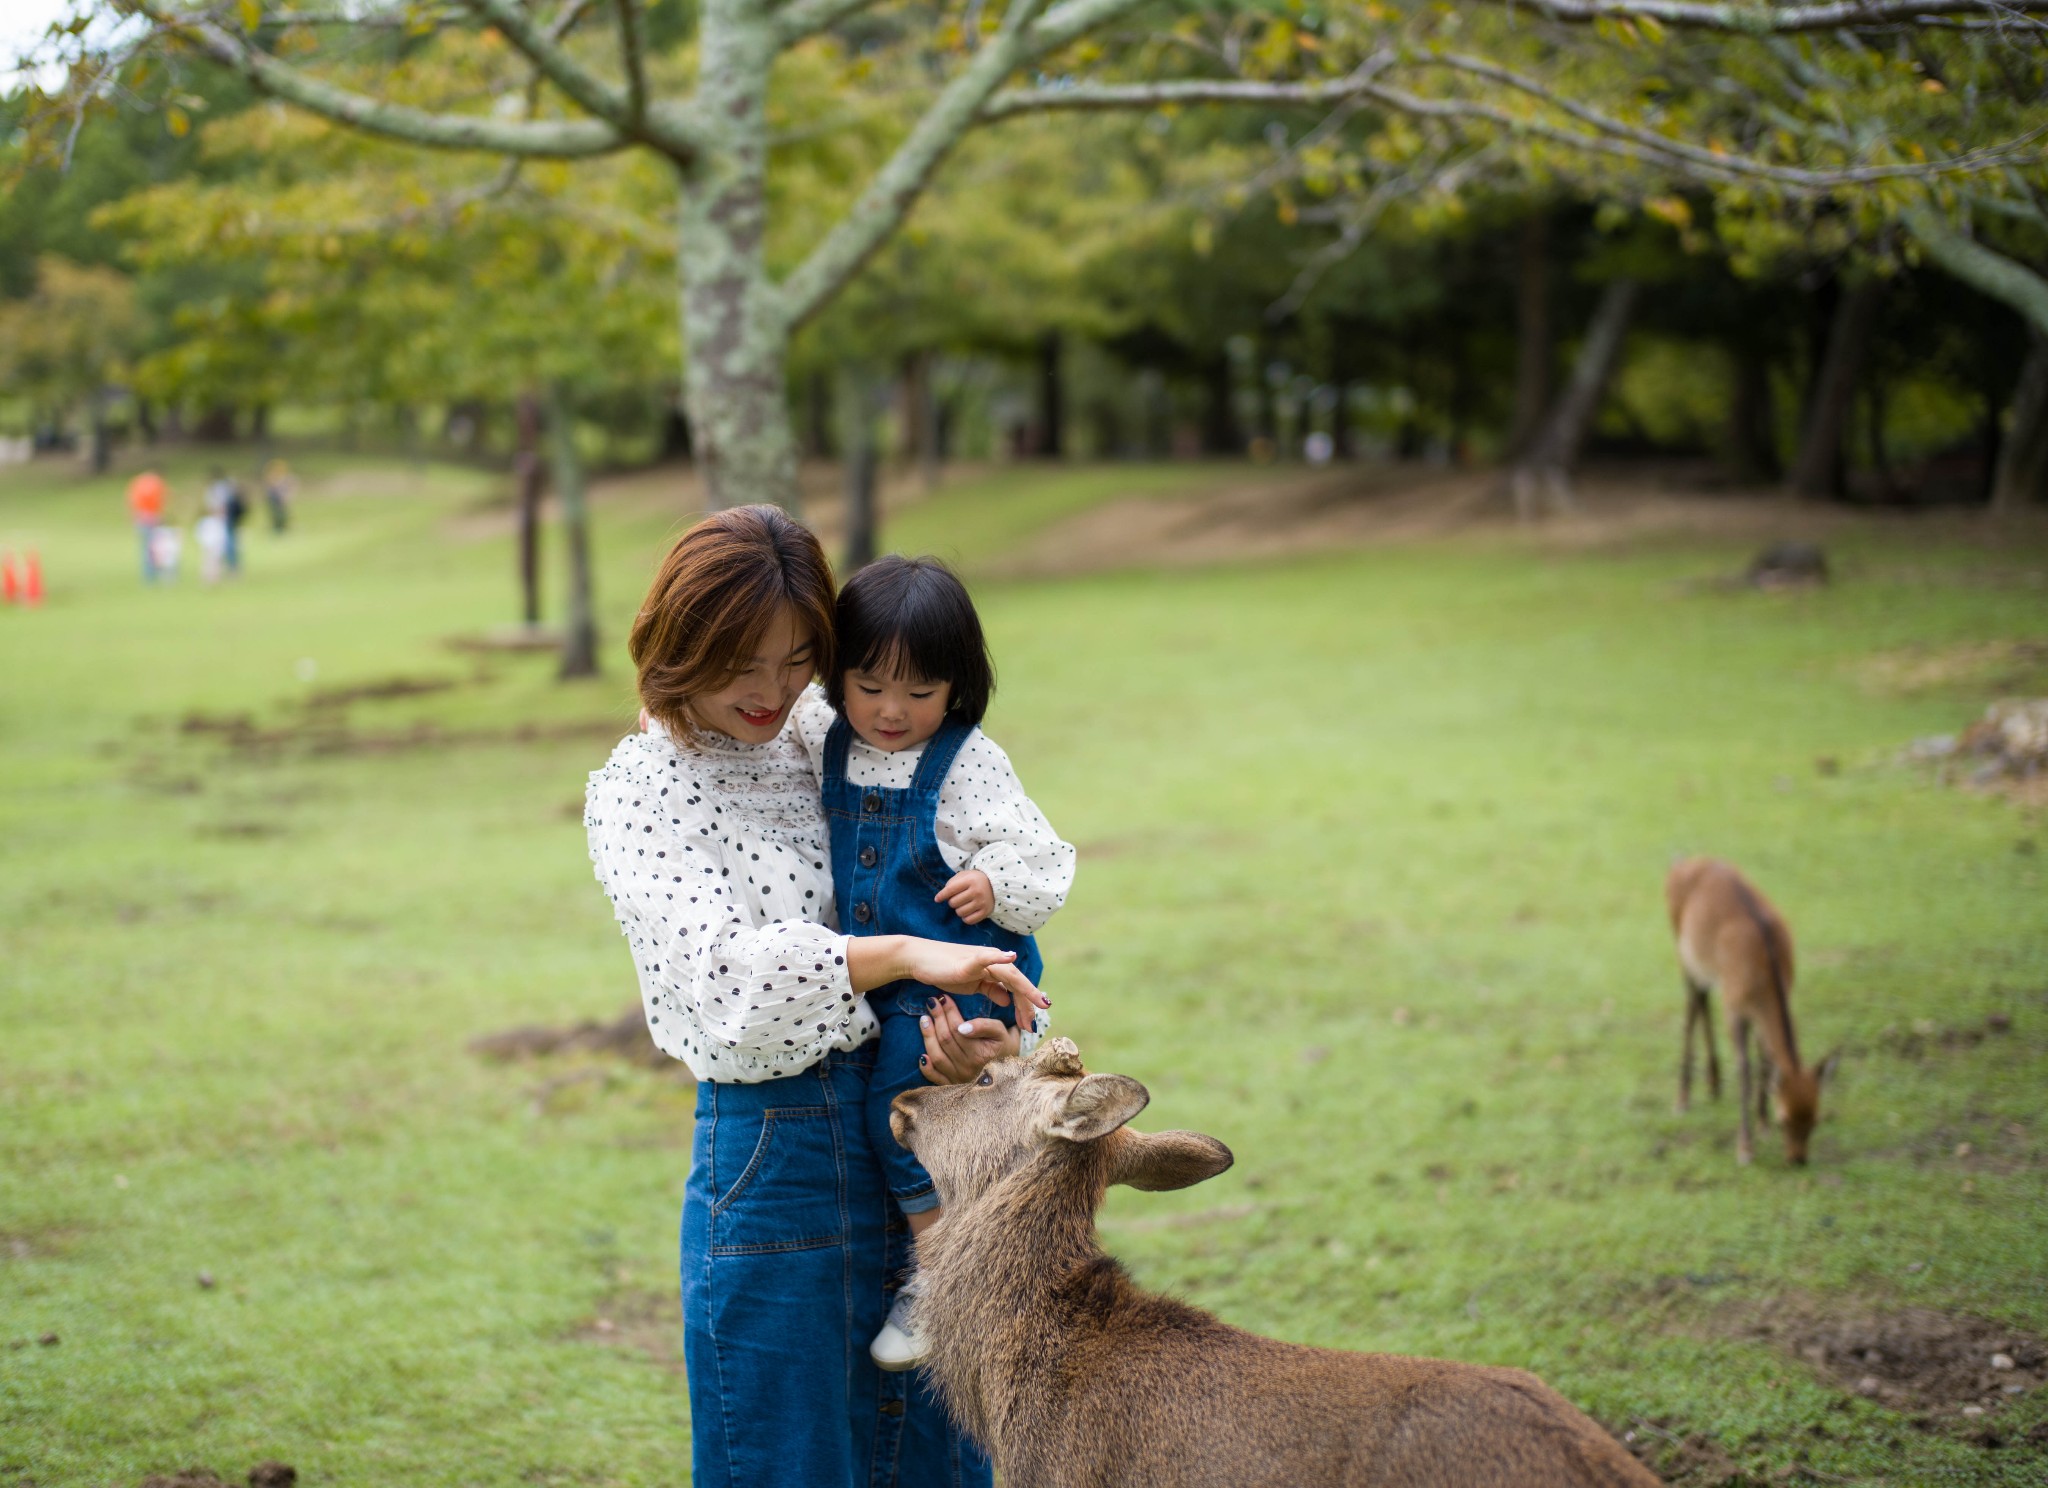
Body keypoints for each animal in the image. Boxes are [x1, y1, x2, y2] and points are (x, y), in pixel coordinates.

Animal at [1662, 859, 1843, 1162]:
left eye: (1815, 1120)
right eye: (1785, 1120)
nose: (1798, 1160)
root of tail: (1679, 862)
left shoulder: (1757, 1014)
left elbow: (1766, 1062)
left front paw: (1762, 1125)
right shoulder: (1734, 1007)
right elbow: (1745, 1070)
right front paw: (1745, 1147)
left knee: (1702, 1001)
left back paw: (1714, 1083)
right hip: (1682, 952)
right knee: (1692, 1008)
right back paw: (1682, 1099)